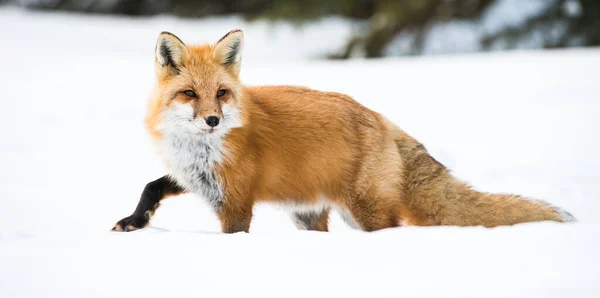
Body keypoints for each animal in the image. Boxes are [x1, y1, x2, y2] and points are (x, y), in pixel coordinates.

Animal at [110, 29, 576, 233]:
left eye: (221, 94)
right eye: (190, 94)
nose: (213, 120)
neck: (200, 147)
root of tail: (380, 117)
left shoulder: (236, 201)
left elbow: (233, 233)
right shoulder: (194, 175)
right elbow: (152, 186)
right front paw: (135, 221)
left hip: (366, 212)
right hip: (310, 214)